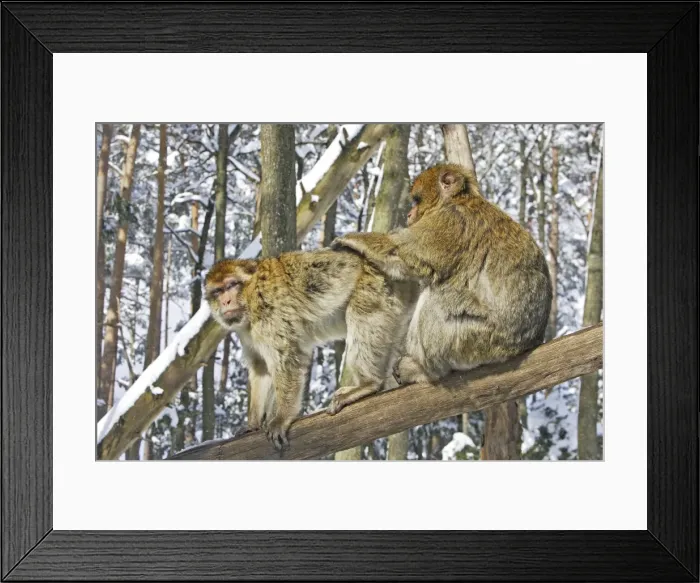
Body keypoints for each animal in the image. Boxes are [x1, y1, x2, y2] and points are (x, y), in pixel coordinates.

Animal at [204, 249, 417, 449]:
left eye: (231, 285)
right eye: (218, 291)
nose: (225, 302)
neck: (250, 297)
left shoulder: (269, 312)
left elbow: (286, 358)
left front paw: (281, 418)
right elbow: (261, 369)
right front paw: (252, 424)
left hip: (375, 287)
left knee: (362, 315)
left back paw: (368, 384)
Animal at [331, 163, 552, 385]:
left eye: (417, 200)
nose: (409, 214)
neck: (458, 199)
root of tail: (526, 345)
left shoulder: (449, 221)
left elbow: (400, 253)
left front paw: (351, 239)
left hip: (476, 340)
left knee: (437, 299)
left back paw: (424, 369)